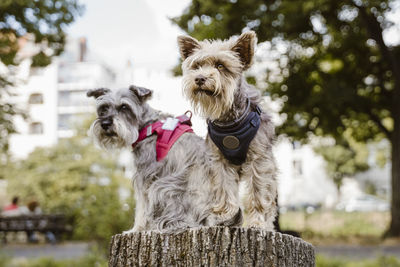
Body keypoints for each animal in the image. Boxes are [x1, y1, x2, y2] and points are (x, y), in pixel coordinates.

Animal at [86, 86, 241, 232]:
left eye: (124, 107)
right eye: (103, 108)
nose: (105, 124)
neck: (147, 126)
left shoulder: (145, 177)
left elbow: (142, 207)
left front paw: (136, 229)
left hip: (163, 187)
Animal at [178, 29, 278, 230]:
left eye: (220, 65)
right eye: (197, 66)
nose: (199, 78)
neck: (229, 122)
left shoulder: (259, 160)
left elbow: (258, 192)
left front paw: (257, 222)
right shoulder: (219, 162)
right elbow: (224, 189)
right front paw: (225, 216)